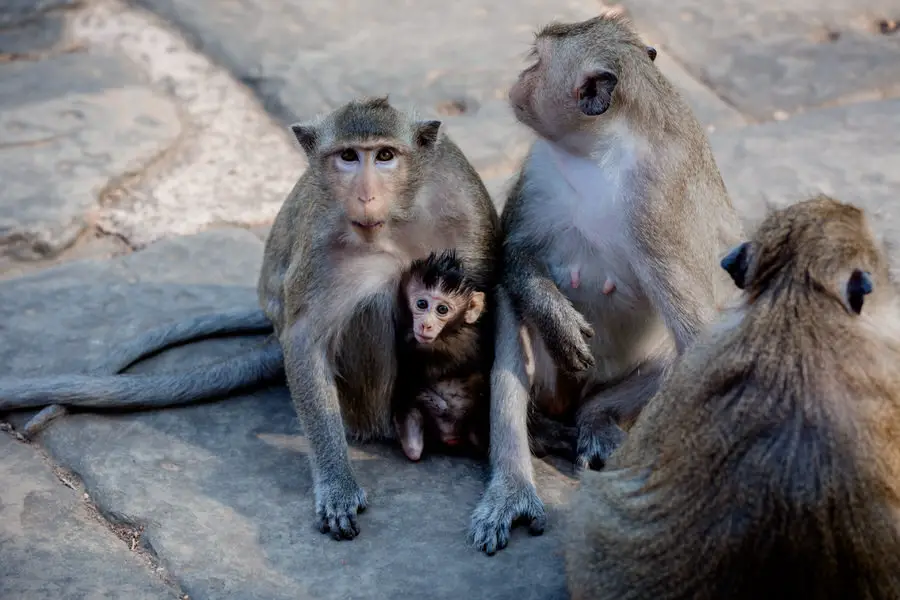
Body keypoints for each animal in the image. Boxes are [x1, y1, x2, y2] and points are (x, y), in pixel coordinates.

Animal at [468, 9, 740, 552]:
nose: (518, 81)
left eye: (537, 62)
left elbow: (702, 342)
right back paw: (516, 474)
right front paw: (553, 315)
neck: (599, 154)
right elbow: (511, 254)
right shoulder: (540, 169)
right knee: (510, 308)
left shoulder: (658, 209)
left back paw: (597, 418)